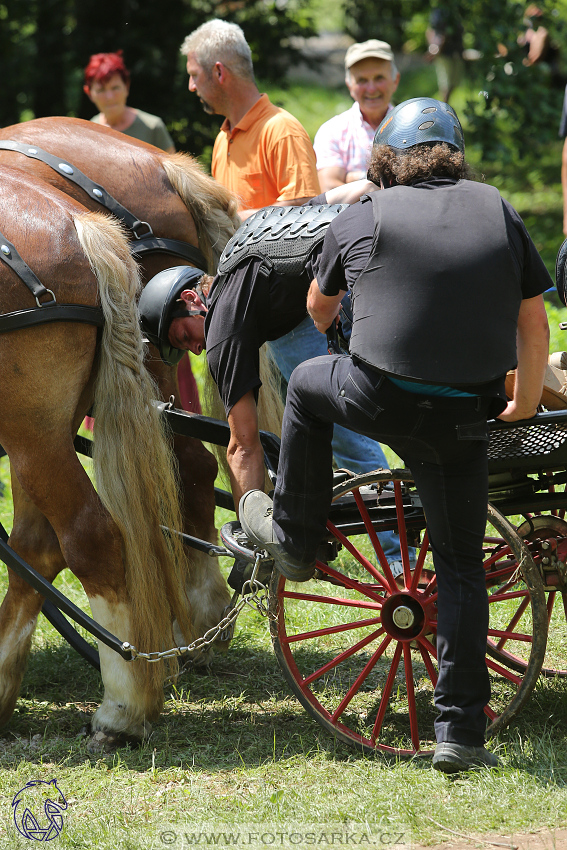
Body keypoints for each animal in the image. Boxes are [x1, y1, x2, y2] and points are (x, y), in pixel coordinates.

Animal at [0, 164, 195, 744]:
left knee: (93, 538)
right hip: (43, 435)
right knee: (38, 547)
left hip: (31, 434)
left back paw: (122, 710)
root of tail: (82, 227)